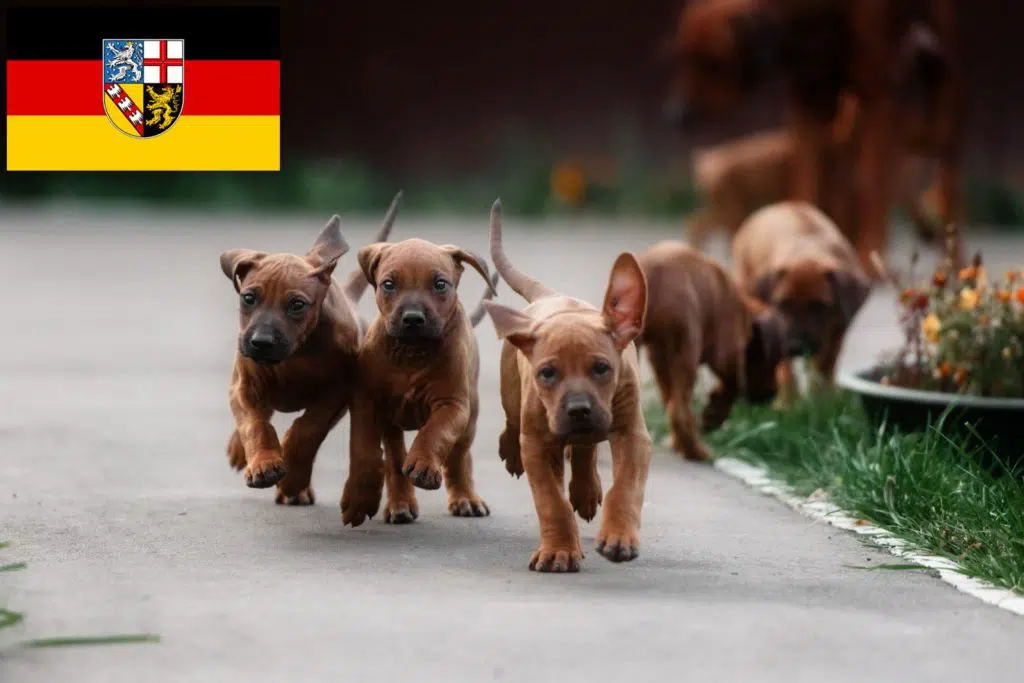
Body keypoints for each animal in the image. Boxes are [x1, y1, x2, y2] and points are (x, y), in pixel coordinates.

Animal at [220, 189, 403, 505]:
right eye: (248, 298)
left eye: (297, 305)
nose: (260, 343)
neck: (297, 353)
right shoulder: (245, 387)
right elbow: (254, 424)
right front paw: (263, 462)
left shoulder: (335, 393)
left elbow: (308, 429)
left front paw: (291, 475)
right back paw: (239, 449)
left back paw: (297, 486)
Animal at [339, 235, 499, 528]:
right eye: (388, 284)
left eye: (440, 284)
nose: (413, 318)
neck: (411, 353)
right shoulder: (366, 402)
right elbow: (364, 450)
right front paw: (359, 499)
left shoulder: (452, 404)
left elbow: (435, 432)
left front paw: (424, 463)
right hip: (391, 424)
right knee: (394, 457)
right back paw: (400, 504)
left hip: (470, 417)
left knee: (459, 457)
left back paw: (465, 498)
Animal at [481, 198, 651, 573]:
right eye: (547, 373)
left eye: (602, 368)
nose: (578, 410)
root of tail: (551, 295)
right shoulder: (538, 446)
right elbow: (551, 502)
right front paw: (558, 551)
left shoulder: (633, 436)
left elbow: (626, 489)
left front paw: (619, 536)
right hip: (514, 398)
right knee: (514, 424)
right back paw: (514, 454)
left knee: (585, 449)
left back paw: (586, 490)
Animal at [630, 240, 790, 458]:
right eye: (775, 359)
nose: (771, 395)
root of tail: (653, 274)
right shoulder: (727, 354)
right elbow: (732, 387)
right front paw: (711, 416)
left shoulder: (659, 357)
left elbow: (668, 395)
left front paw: (677, 440)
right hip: (687, 349)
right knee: (679, 410)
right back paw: (697, 451)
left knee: (671, 405)